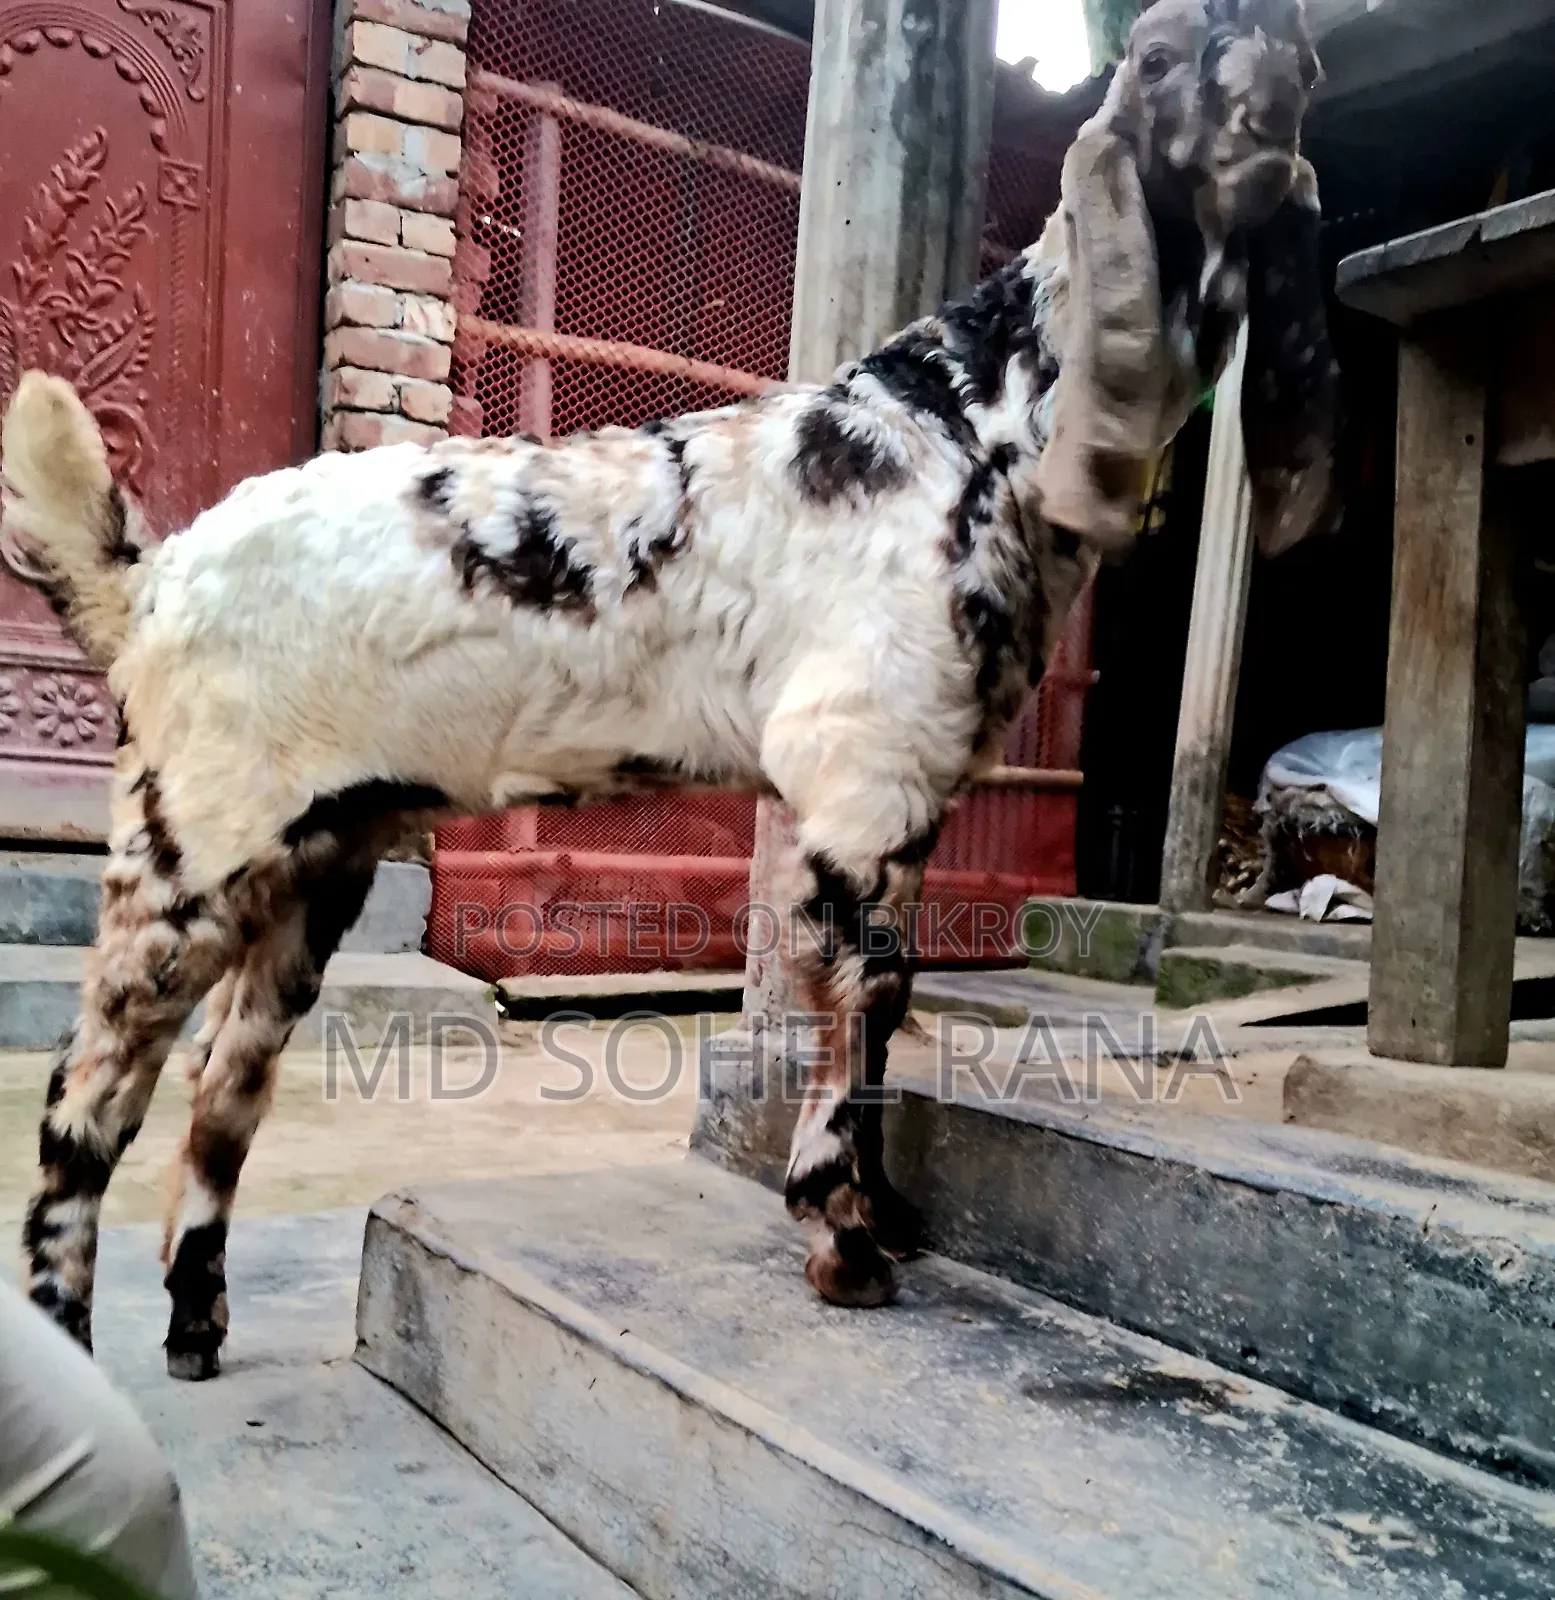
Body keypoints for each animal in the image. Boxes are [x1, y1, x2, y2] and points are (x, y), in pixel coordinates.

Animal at [2, 0, 1336, 1377]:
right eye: (1162, 61)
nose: (1277, 59)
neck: (969, 424)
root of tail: (153, 580)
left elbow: (884, 1019)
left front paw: (881, 1217)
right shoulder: (864, 777)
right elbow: (867, 1008)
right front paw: (846, 1241)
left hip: (318, 863)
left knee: (221, 1094)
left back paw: (196, 1322)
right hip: (191, 842)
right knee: (83, 1100)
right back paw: (75, 1330)